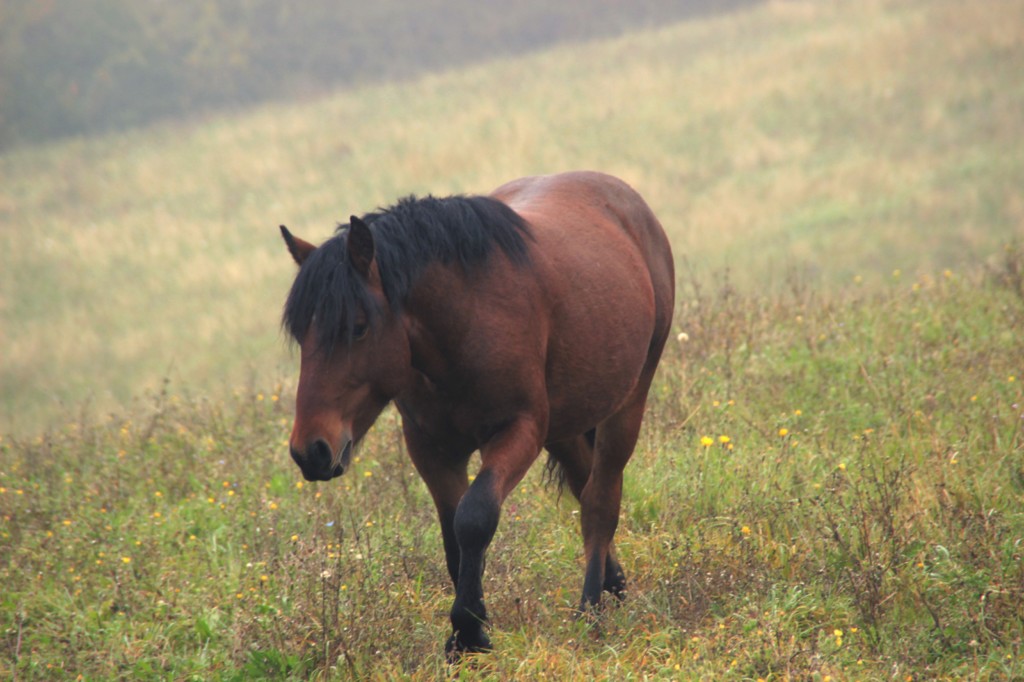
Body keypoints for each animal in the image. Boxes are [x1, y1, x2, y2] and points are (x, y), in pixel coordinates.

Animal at [280, 171, 674, 656]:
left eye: (358, 327)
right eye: (301, 333)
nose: (310, 451)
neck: (465, 320)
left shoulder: (518, 431)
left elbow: (474, 518)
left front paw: (469, 631)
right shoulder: (432, 449)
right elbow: (453, 538)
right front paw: (465, 633)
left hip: (627, 404)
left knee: (600, 501)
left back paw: (590, 610)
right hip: (565, 426)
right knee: (586, 487)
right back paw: (612, 586)